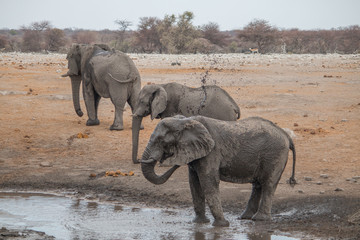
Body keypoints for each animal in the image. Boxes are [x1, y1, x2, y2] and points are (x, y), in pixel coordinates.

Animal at [140, 115, 296, 226]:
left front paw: (222, 225)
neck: (186, 121)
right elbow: (194, 184)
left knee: (268, 184)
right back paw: (245, 217)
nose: (168, 159)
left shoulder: (212, 152)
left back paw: (259, 219)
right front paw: (199, 223)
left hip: (274, 154)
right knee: (257, 185)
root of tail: (286, 135)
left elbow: (209, 183)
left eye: (161, 141)